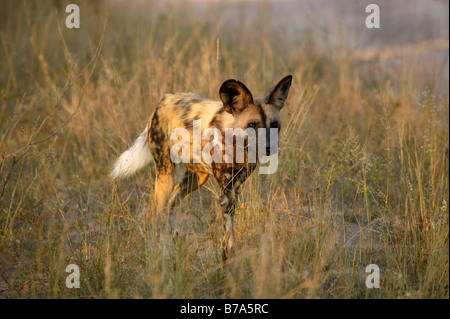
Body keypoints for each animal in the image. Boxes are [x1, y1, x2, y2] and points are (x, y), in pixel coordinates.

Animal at [110, 76, 290, 262]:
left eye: (274, 124)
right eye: (252, 124)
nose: (268, 147)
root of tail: (164, 100)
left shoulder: (234, 188)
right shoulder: (226, 192)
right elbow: (228, 234)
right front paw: (227, 261)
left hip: (197, 178)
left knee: (172, 202)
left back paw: (175, 238)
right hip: (166, 175)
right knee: (159, 215)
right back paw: (164, 252)